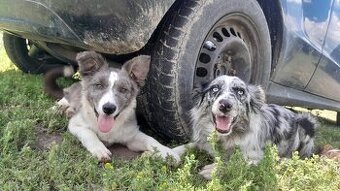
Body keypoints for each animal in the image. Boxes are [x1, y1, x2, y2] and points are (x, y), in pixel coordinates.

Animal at [174, 75, 318, 180]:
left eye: (240, 91)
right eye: (214, 88)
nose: (225, 105)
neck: (225, 137)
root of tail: (294, 115)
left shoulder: (259, 157)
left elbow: (236, 162)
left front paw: (214, 169)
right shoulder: (203, 141)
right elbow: (189, 145)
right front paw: (171, 153)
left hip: (307, 123)